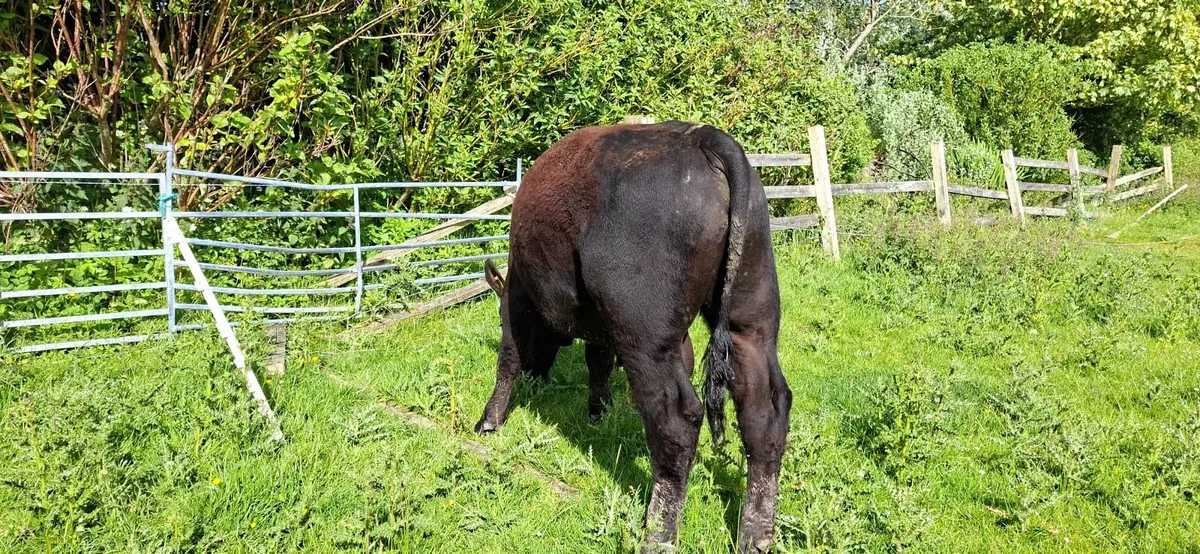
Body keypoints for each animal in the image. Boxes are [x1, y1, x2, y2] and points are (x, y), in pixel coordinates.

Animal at [475, 121, 792, 553]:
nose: (539, 379)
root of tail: (705, 138)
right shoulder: (609, 326)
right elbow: (598, 361)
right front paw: (598, 411)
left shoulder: (519, 297)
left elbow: (509, 358)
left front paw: (489, 421)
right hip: (751, 322)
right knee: (765, 410)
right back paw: (755, 534)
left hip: (647, 340)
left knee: (677, 421)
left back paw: (658, 532)